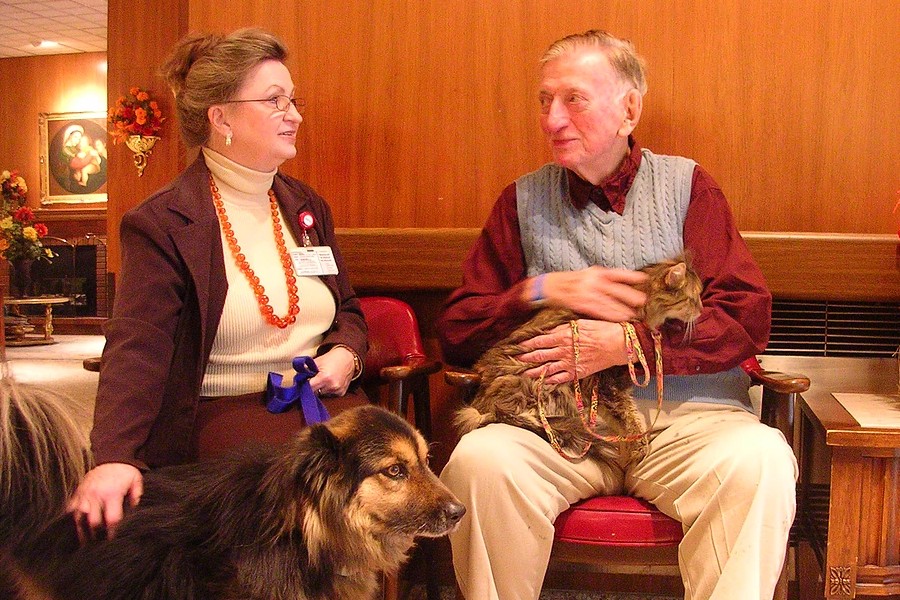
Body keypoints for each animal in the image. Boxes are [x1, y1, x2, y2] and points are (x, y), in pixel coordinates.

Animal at [458, 255, 704, 466]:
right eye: (693, 298)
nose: (702, 310)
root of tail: (481, 404)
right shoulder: (608, 386)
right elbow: (630, 419)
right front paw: (638, 448)